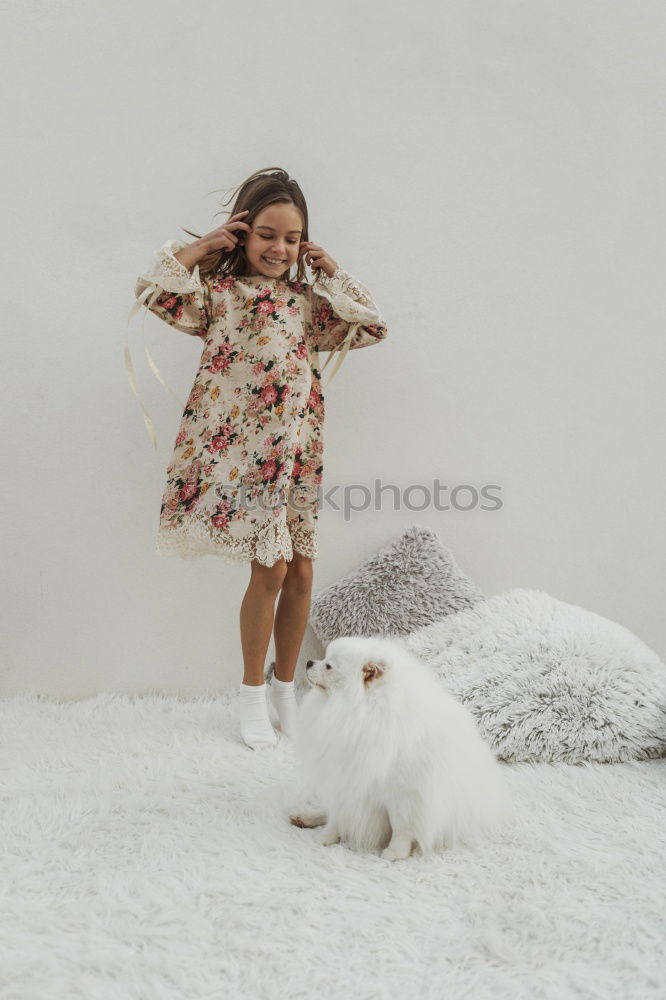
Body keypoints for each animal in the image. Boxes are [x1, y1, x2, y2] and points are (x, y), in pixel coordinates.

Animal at [286, 632, 508, 860]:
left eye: (328, 666)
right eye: (323, 659)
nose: (309, 662)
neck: (361, 710)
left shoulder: (405, 793)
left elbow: (401, 826)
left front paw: (395, 852)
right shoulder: (343, 778)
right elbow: (337, 816)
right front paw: (327, 837)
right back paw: (306, 817)